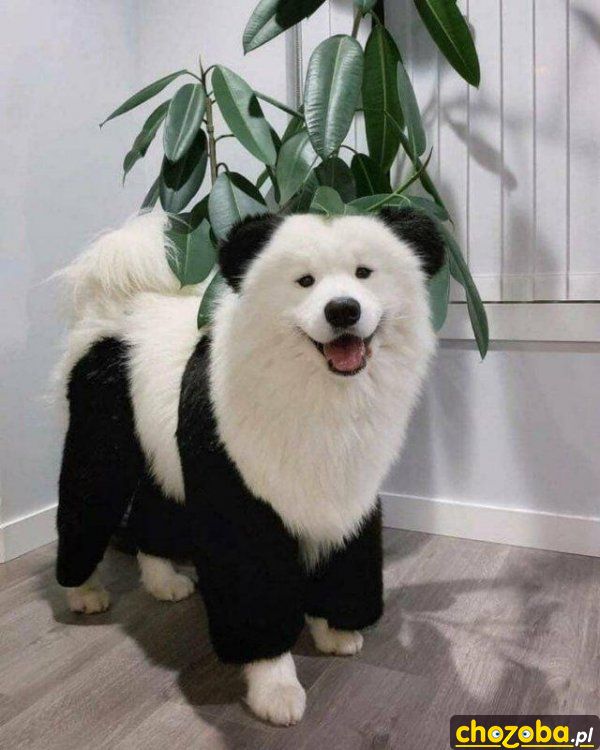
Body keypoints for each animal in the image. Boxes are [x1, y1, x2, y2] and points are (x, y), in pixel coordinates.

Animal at [55, 207, 444, 725]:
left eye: (365, 272)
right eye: (304, 281)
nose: (343, 310)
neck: (318, 393)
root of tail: (117, 306)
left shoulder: (349, 493)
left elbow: (339, 559)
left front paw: (334, 632)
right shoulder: (236, 493)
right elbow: (255, 589)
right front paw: (275, 690)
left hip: (164, 456)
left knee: (154, 514)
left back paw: (164, 583)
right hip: (102, 435)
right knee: (87, 501)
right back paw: (82, 593)